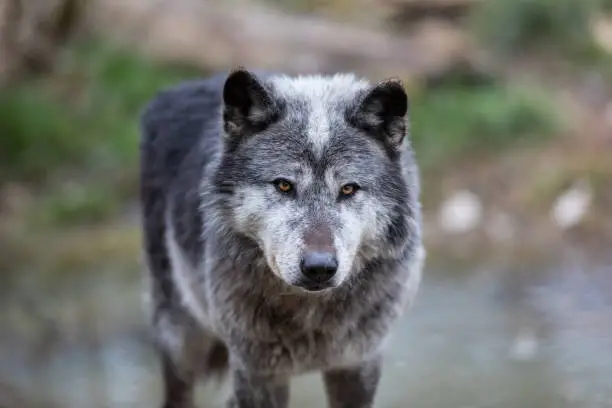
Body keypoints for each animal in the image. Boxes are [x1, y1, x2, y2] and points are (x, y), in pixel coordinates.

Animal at [140, 67, 426, 408]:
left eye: (348, 189)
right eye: (284, 185)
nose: (319, 267)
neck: (310, 316)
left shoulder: (358, 364)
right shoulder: (258, 373)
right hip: (182, 338)